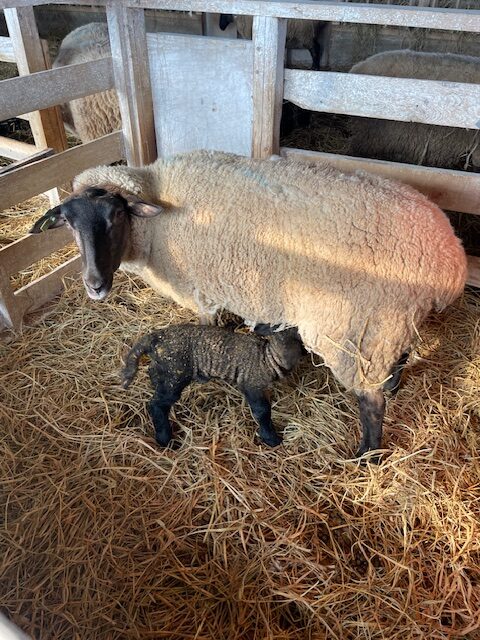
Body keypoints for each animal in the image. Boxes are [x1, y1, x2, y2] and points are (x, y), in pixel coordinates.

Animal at [30, 150, 464, 460]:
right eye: (70, 224)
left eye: (116, 216)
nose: (95, 286)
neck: (156, 224)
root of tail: (450, 261)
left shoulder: (203, 290)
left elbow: (207, 331)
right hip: (390, 324)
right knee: (399, 360)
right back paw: (392, 388)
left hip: (355, 327)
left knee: (371, 404)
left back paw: (364, 457)